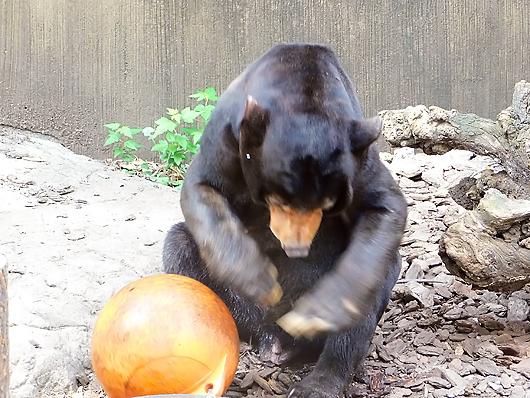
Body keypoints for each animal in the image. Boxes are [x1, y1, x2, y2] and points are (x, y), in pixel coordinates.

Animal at [163, 43, 406, 398]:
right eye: (276, 199)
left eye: (328, 206)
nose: (296, 248)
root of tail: (280, 340)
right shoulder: (227, 135)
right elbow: (203, 186)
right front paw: (255, 277)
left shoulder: (359, 161)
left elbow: (384, 204)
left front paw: (322, 309)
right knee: (181, 250)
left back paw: (318, 382)